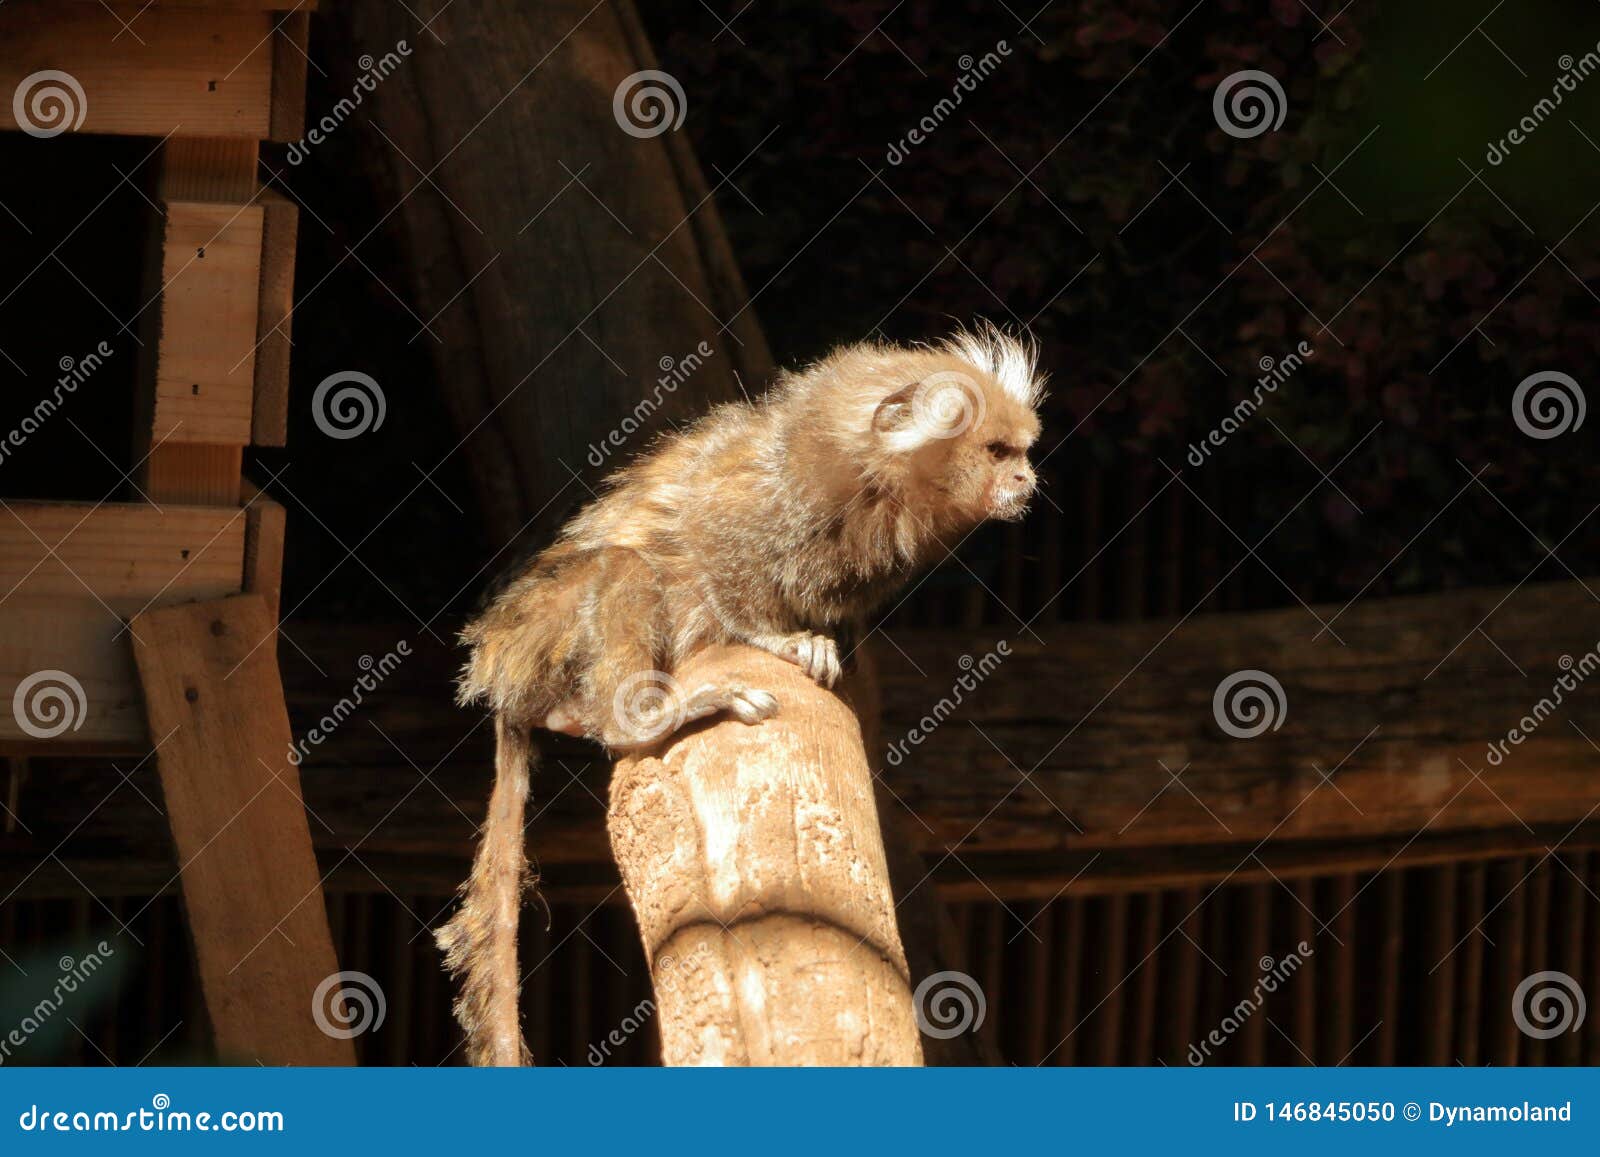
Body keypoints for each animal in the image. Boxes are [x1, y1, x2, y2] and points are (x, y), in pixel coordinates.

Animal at [436, 323, 1045, 1066]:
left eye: (1021, 452)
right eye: (997, 451)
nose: (1026, 479)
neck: (870, 477)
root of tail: (502, 677)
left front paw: (822, 642)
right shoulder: (767, 499)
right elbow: (710, 550)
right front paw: (774, 639)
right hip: (543, 632)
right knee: (625, 567)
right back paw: (638, 718)